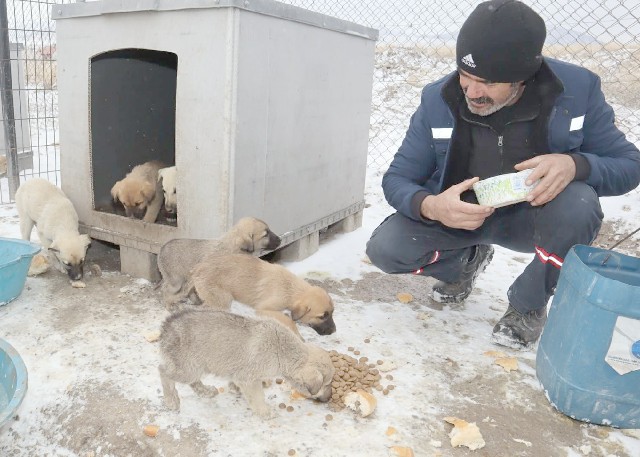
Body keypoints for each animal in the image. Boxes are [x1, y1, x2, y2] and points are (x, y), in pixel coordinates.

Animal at [158, 306, 336, 416]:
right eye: (325, 384)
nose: (329, 398)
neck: (282, 350)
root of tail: (167, 326)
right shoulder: (249, 379)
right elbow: (257, 397)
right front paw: (265, 412)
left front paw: (235, 388)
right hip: (187, 368)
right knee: (163, 372)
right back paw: (171, 400)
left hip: (196, 367)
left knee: (193, 382)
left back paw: (205, 391)